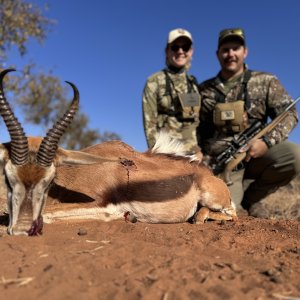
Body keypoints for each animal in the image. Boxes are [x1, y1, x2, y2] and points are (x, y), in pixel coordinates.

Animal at [0, 69, 237, 236]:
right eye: (8, 178)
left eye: (49, 180)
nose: (20, 229)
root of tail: (206, 174)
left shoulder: (103, 207)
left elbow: (46, 214)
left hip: (216, 201)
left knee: (231, 214)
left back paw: (200, 217)